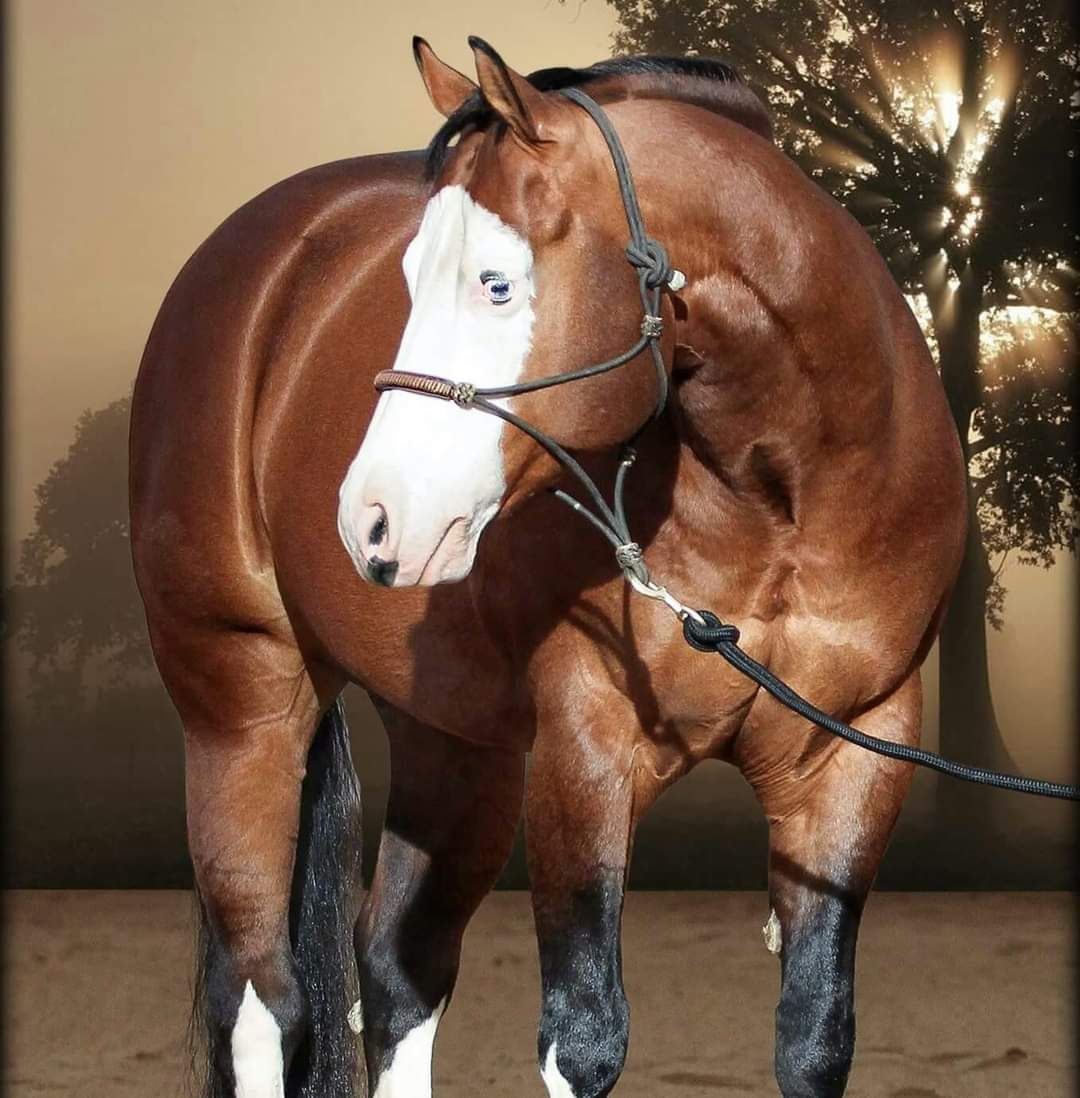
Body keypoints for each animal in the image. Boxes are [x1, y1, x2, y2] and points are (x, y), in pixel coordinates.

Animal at [129, 36, 967, 1098]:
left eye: (495, 282)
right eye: (409, 277)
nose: (371, 519)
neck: (785, 503)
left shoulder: (853, 755)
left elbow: (814, 1036)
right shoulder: (587, 752)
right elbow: (585, 1036)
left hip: (454, 744)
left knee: (397, 969)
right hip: (240, 703)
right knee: (261, 1001)